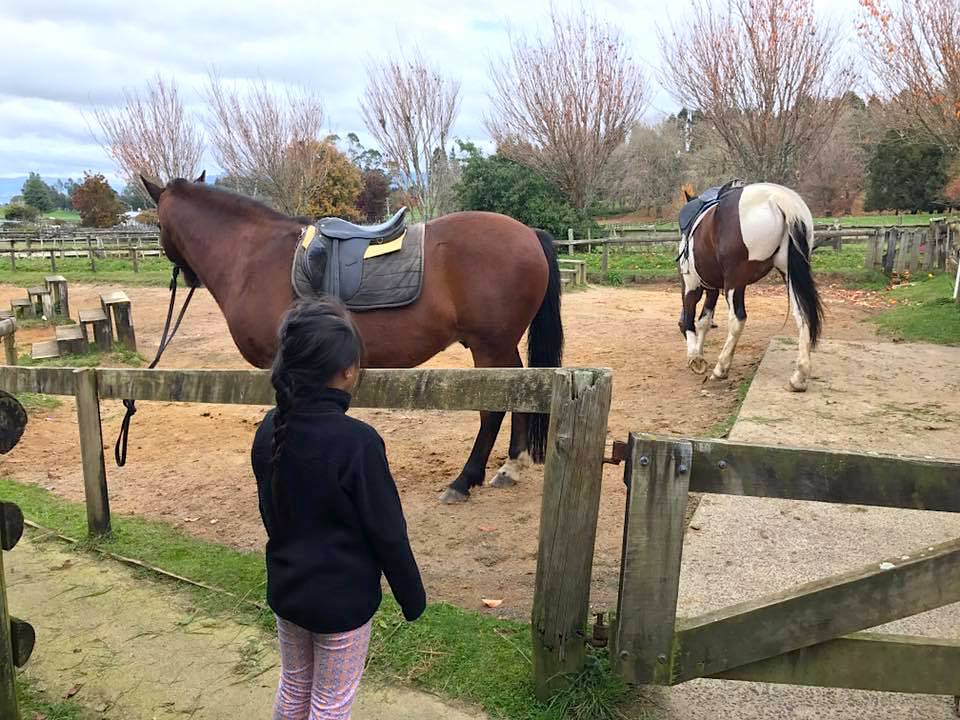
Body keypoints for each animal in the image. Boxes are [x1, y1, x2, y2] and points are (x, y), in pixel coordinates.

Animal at [141, 175, 564, 504]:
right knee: (521, 393)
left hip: (489, 346)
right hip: (500, 346)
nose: (186, 275)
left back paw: (463, 481)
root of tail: (527, 232)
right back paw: (511, 467)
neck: (253, 257)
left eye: (158, 225)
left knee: (494, 408)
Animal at [676, 183, 824, 390]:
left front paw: (695, 358)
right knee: (802, 315)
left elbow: (688, 319)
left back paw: (721, 369)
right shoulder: (712, 287)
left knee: (737, 320)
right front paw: (699, 352)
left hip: (734, 282)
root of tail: (777, 199)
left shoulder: (692, 284)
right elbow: (704, 321)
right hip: (789, 274)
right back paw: (799, 376)